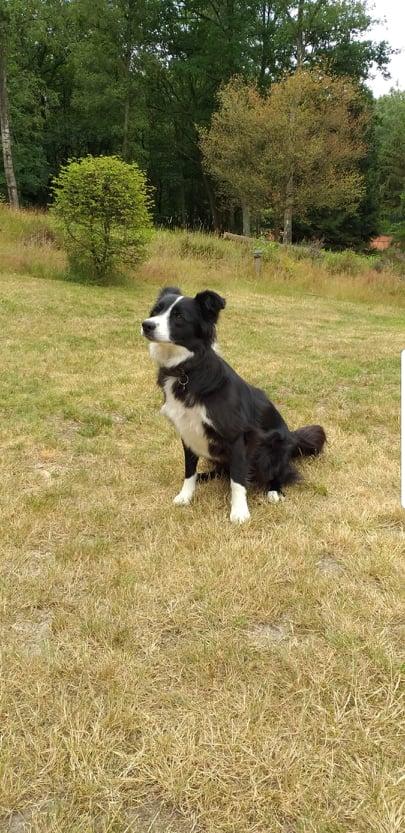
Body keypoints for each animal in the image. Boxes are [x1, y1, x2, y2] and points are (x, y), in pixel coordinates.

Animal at [142, 286, 326, 520]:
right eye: (156, 310)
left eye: (179, 317)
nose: (146, 324)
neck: (186, 370)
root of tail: (293, 438)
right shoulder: (188, 432)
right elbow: (189, 470)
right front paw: (185, 496)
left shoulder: (236, 436)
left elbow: (238, 479)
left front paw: (239, 513)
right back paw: (205, 476)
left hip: (271, 450)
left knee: (280, 472)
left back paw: (274, 491)